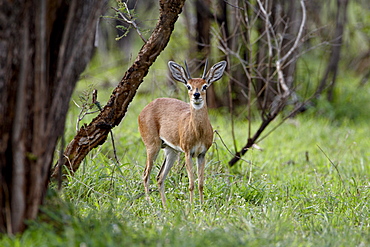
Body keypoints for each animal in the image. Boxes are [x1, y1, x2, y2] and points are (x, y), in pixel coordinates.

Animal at [138, 60, 227, 206]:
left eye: (204, 86)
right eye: (189, 86)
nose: (196, 95)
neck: (198, 132)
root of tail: (144, 109)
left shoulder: (202, 154)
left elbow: (201, 183)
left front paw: (201, 206)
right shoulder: (188, 152)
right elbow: (191, 184)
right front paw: (191, 206)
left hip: (171, 151)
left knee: (160, 177)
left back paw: (165, 206)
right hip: (152, 146)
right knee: (146, 175)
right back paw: (150, 205)